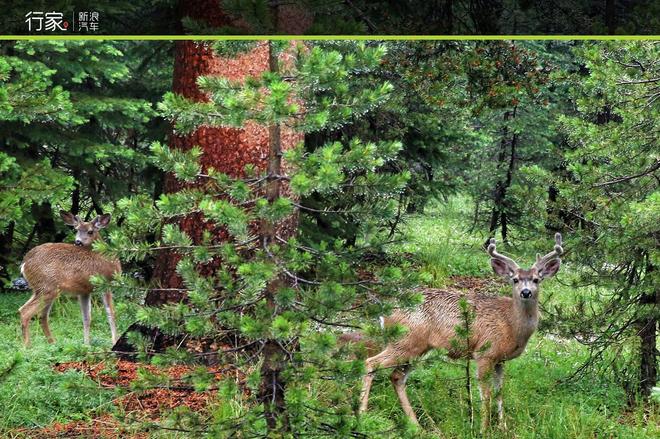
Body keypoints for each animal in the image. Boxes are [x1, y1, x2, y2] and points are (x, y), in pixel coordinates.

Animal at [18, 212, 120, 348]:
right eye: (76, 230)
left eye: (90, 231)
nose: (78, 242)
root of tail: (24, 264)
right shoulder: (105, 283)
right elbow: (111, 313)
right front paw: (114, 341)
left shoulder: (84, 291)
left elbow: (86, 317)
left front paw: (86, 344)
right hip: (47, 288)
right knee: (25, 311)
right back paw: (27, 346)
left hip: (41, 289)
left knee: (42, 315)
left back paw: (53, 343)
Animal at [358, 234, 564, 434]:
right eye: (515, 280)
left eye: (536, 279)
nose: (526, 292)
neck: (510, 323)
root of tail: (385, 312)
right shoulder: (484, 353)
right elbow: (486, 395)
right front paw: (482, 430)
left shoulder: (501, 360)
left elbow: (500, 393)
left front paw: (503, 428)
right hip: (405, 342)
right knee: (370, 363)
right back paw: (362, 414)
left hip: (417, 349)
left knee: (396, 377)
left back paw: (416, 425)